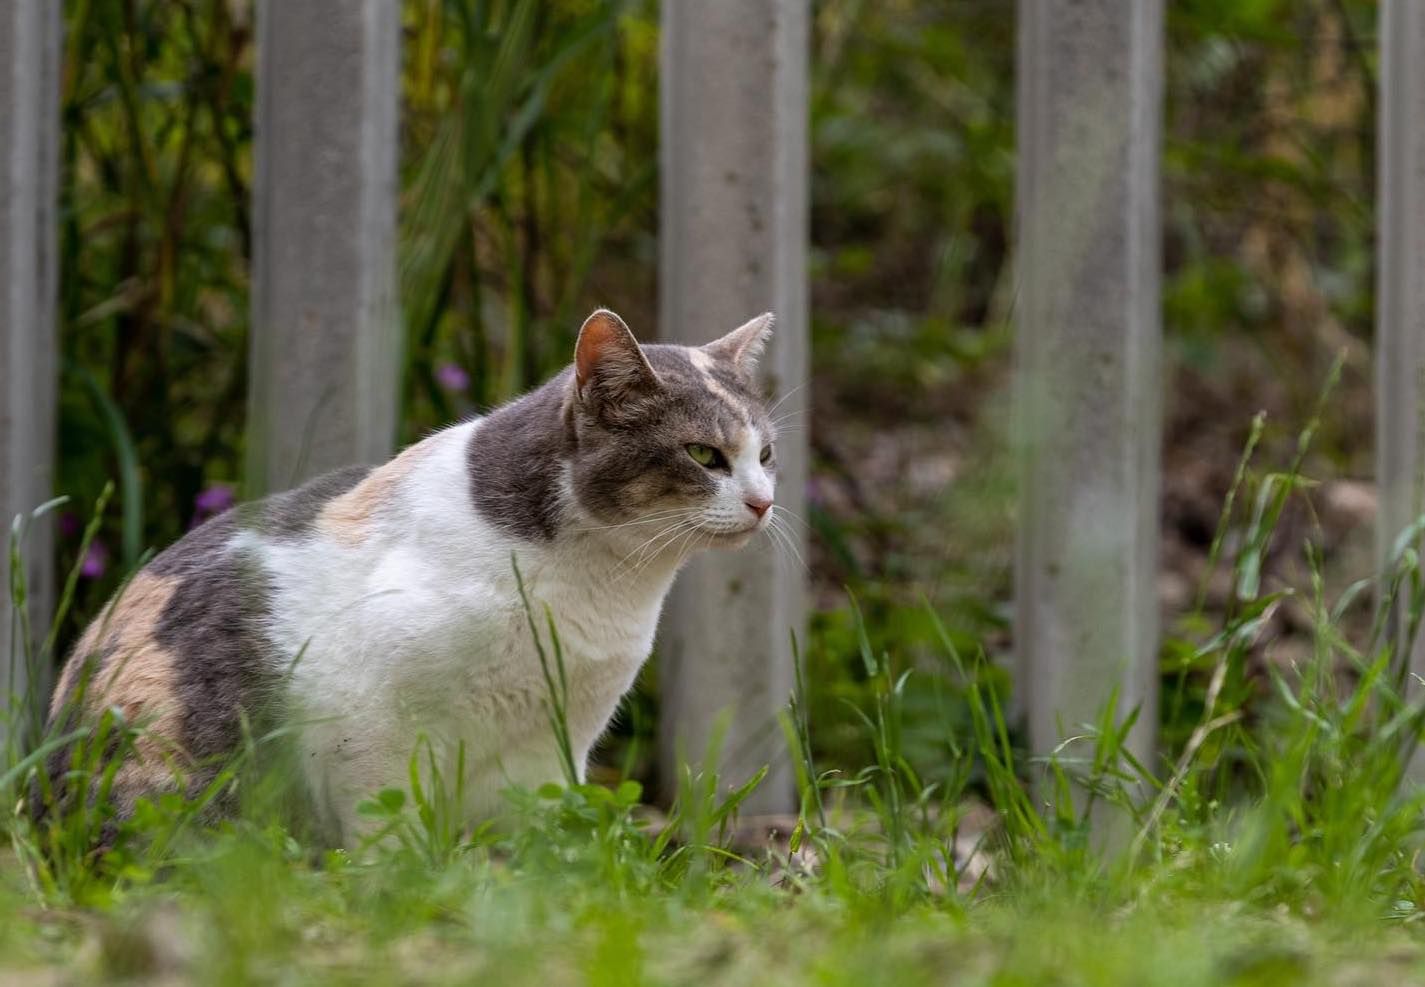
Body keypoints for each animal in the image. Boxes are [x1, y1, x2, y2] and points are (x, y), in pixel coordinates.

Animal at [41, 311, 780, 843]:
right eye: (704, 454)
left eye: (766, 454)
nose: (763, 501)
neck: (604, 584)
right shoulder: (369, 719)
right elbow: (387, 824)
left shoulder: (554, 741)